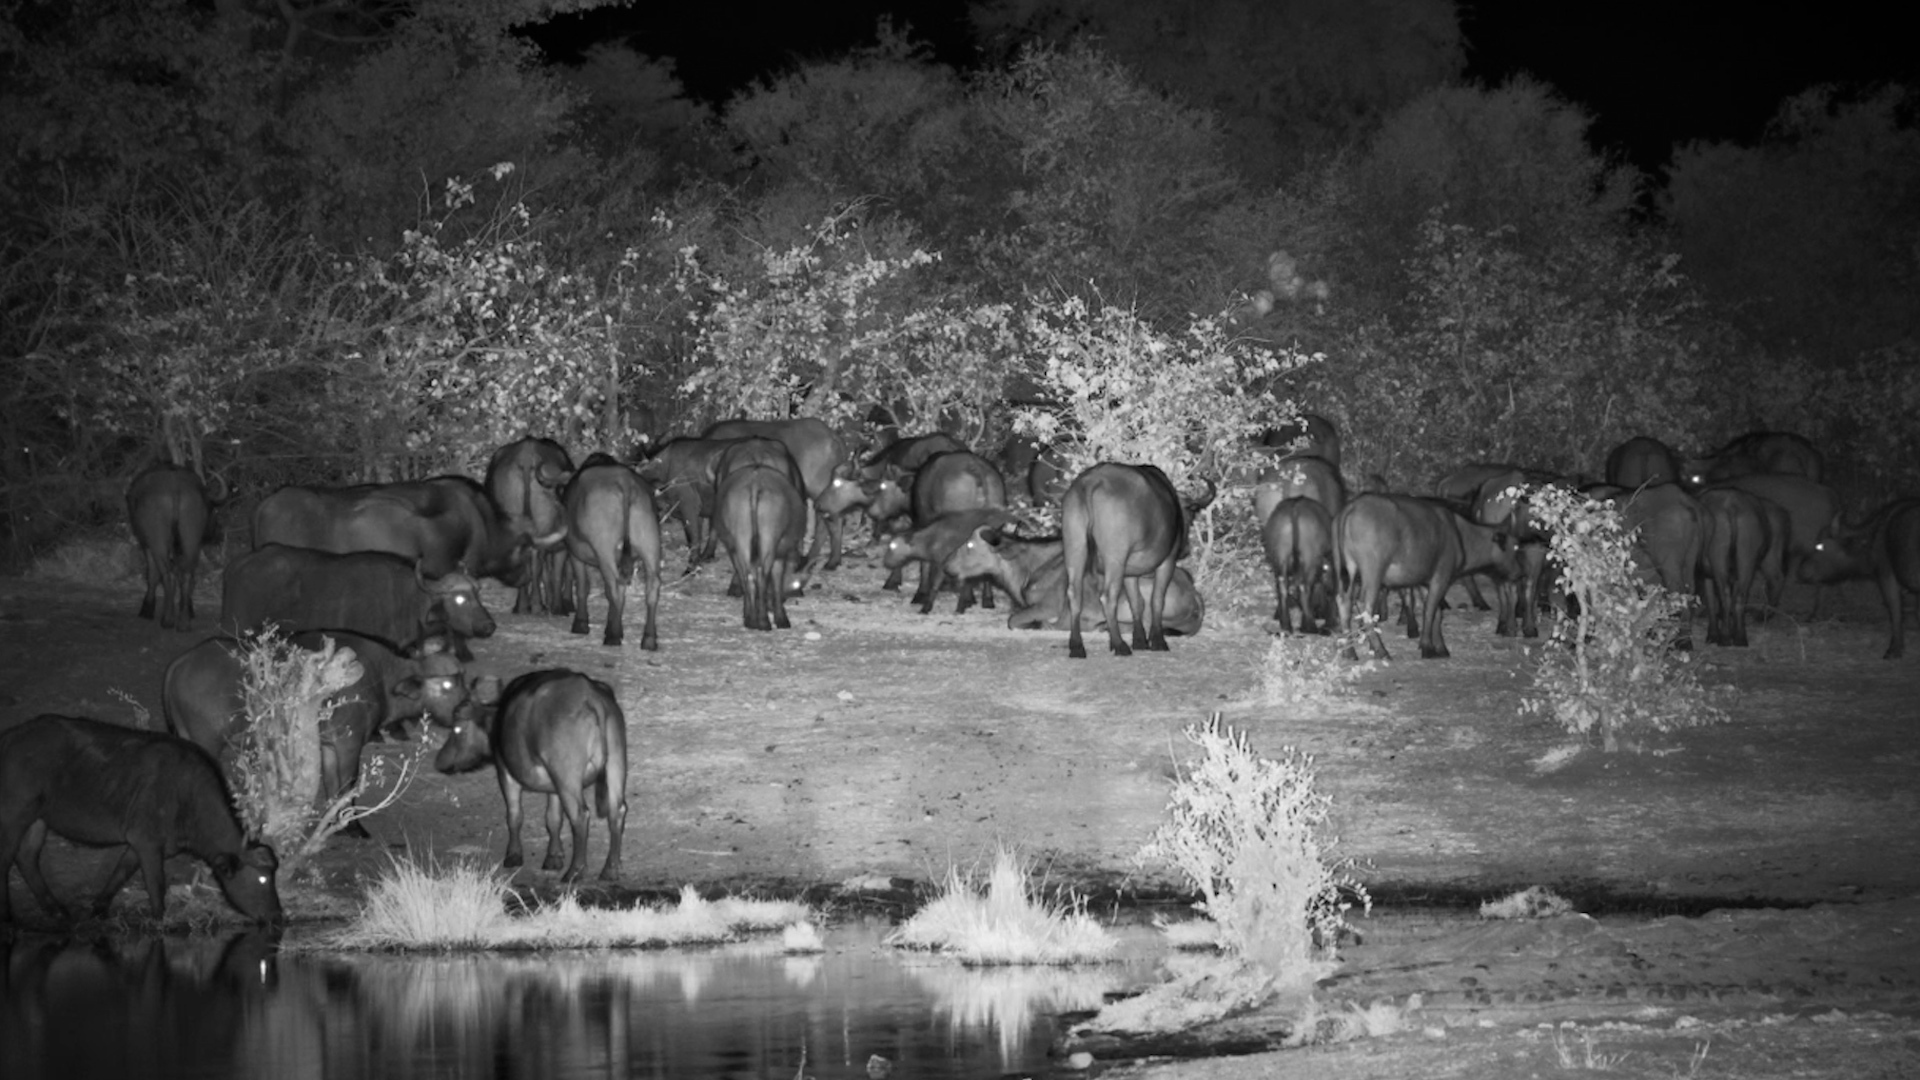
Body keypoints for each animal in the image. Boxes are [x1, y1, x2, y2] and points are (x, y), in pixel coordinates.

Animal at [0, 714, 283, 925]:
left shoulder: (143, 843)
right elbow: (156, 884)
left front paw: (99, 908)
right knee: (7, 858)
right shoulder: (146, 841)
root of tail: (11, 736)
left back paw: (56, 909)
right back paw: (9, 917)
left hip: (37, 818)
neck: (187, 796)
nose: (277, 916)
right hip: (14, 814)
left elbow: (121, 872)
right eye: (262, 880)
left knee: (26, 856)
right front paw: (160, 921)